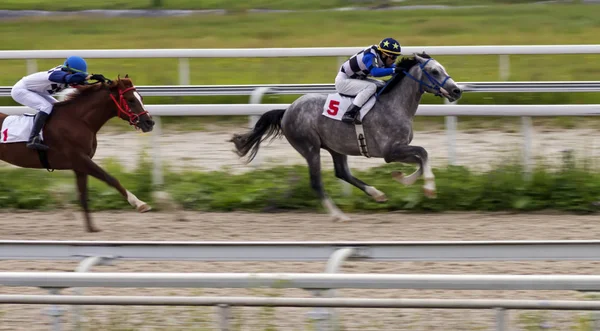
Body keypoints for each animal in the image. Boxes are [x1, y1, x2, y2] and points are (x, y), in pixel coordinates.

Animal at [0, 75, 156, 232]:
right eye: (130, 100)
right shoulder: (80, 159)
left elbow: (83, 195)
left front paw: (91, 228)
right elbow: (111, 179)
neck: (79, 120)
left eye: (141, 97)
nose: (149, 122)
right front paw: (139, 204)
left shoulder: (80, 166)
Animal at [232, 53, 462, 222]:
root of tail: (287, 110)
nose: (456, 91)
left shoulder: (399, 148)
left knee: (342, 172)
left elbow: (421, 159)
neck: (395, 105)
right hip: (309, 147)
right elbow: (423, 153)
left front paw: (402, 178)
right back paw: (338, 215)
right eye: (434, 71)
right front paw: (428, 188)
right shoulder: (390, 151)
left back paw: (377, 194)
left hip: (336, 147)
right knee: (316, 182)